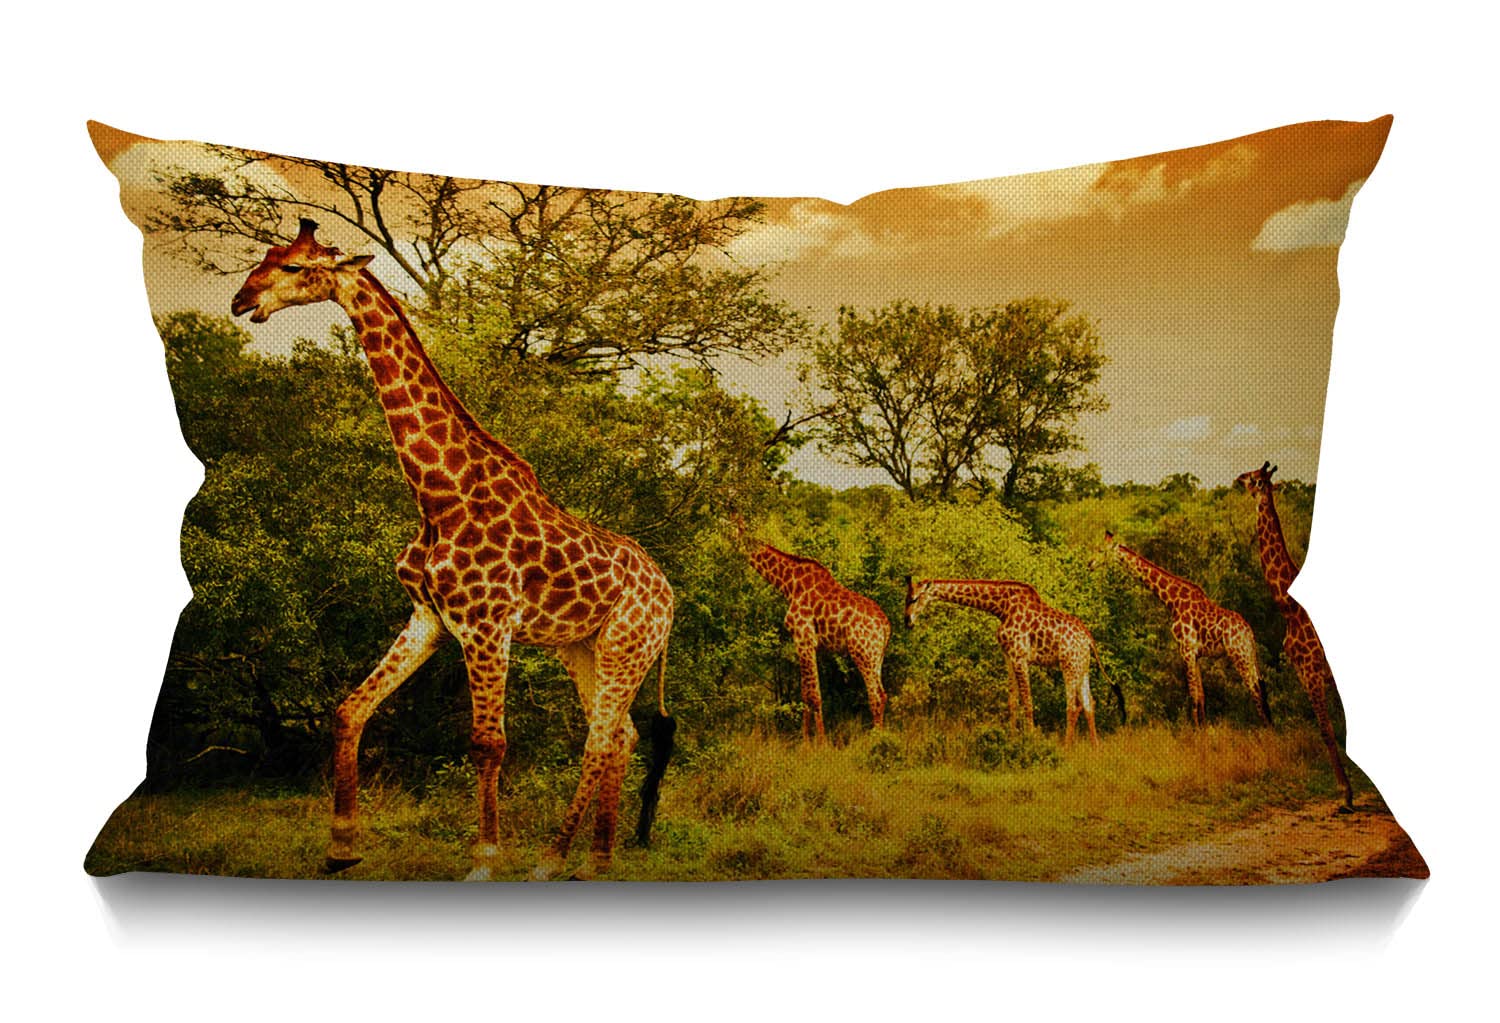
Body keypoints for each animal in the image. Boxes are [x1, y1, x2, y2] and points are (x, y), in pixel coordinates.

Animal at [230, 220, 676, 881]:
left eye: (294, 267)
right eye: (266, 255)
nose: (241, 301)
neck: (438, 495)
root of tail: (670, 594)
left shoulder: (486, 626)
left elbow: (488, 744)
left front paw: (484, 861)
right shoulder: (430, 618)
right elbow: (349, 709)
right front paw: (341, 846)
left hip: (629, 643)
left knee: (600, 738)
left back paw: (550, 859)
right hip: (583, 646)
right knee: (619, 735)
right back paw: (595, 861)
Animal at [733, 517, 890, 740]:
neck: (788, 584)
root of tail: (885, 626)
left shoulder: (804, 638)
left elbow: (813, 695)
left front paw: (819, 742)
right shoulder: (806, 643)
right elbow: (805, 693)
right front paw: (806, 739)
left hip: (863, 653)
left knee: (875, 695)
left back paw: (876, 739)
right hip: (877, 656)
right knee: (883, 694)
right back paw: (882, 735)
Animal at [904, 577, 1106, 745]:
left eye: (914, 598)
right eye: (906, 599)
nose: (907, 621)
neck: (1002, 608)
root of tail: (1089, 639)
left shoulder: (1020, 656)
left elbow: (1027, 701)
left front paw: (1031, 740)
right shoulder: (1009, 657)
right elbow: (1012, 702)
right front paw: (1012, 738)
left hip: (1068, 665)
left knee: (1073, 706)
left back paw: (1066, 747)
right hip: (1082, 667)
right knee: (1089, 703)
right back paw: (1095, 747)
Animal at [1098, 531, 1270, 728]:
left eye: (1100, 550)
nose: (1090, 563)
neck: (1172, 601)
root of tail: (1249, 633)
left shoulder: (1186, 650)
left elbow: (1193, 694)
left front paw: (1195, 729)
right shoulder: (1195, 654)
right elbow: (1201, 694)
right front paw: (1204, 727)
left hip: (1239, 656)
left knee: (1255, 689)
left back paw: (1265, 728)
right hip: (1248, 655)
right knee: (1260, 686)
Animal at [1235, 462, 1354, 810]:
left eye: (1252, 478)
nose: (1236, 479)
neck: (1289, 604)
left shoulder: (1311, 670)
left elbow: (1327, 730)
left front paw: (1345, 794)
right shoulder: (1308, 674)